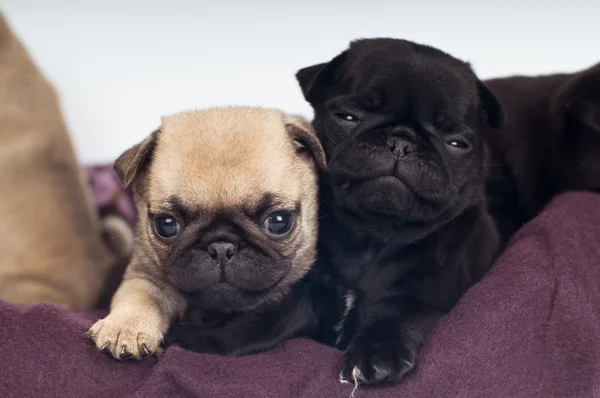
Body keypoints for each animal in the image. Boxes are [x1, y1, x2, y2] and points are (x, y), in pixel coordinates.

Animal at [88, 107, 338, 360]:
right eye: (166, 225)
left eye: (279, 222)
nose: (221, 246)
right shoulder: (144, 274)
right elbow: (140, 295)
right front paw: (125, 327)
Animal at [298, 38, 504, 386]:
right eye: (347, 117)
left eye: (456, 143)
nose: (400, 141)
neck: (374, 233)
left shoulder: (427, 294)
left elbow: (400, 314)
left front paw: (375, 352)